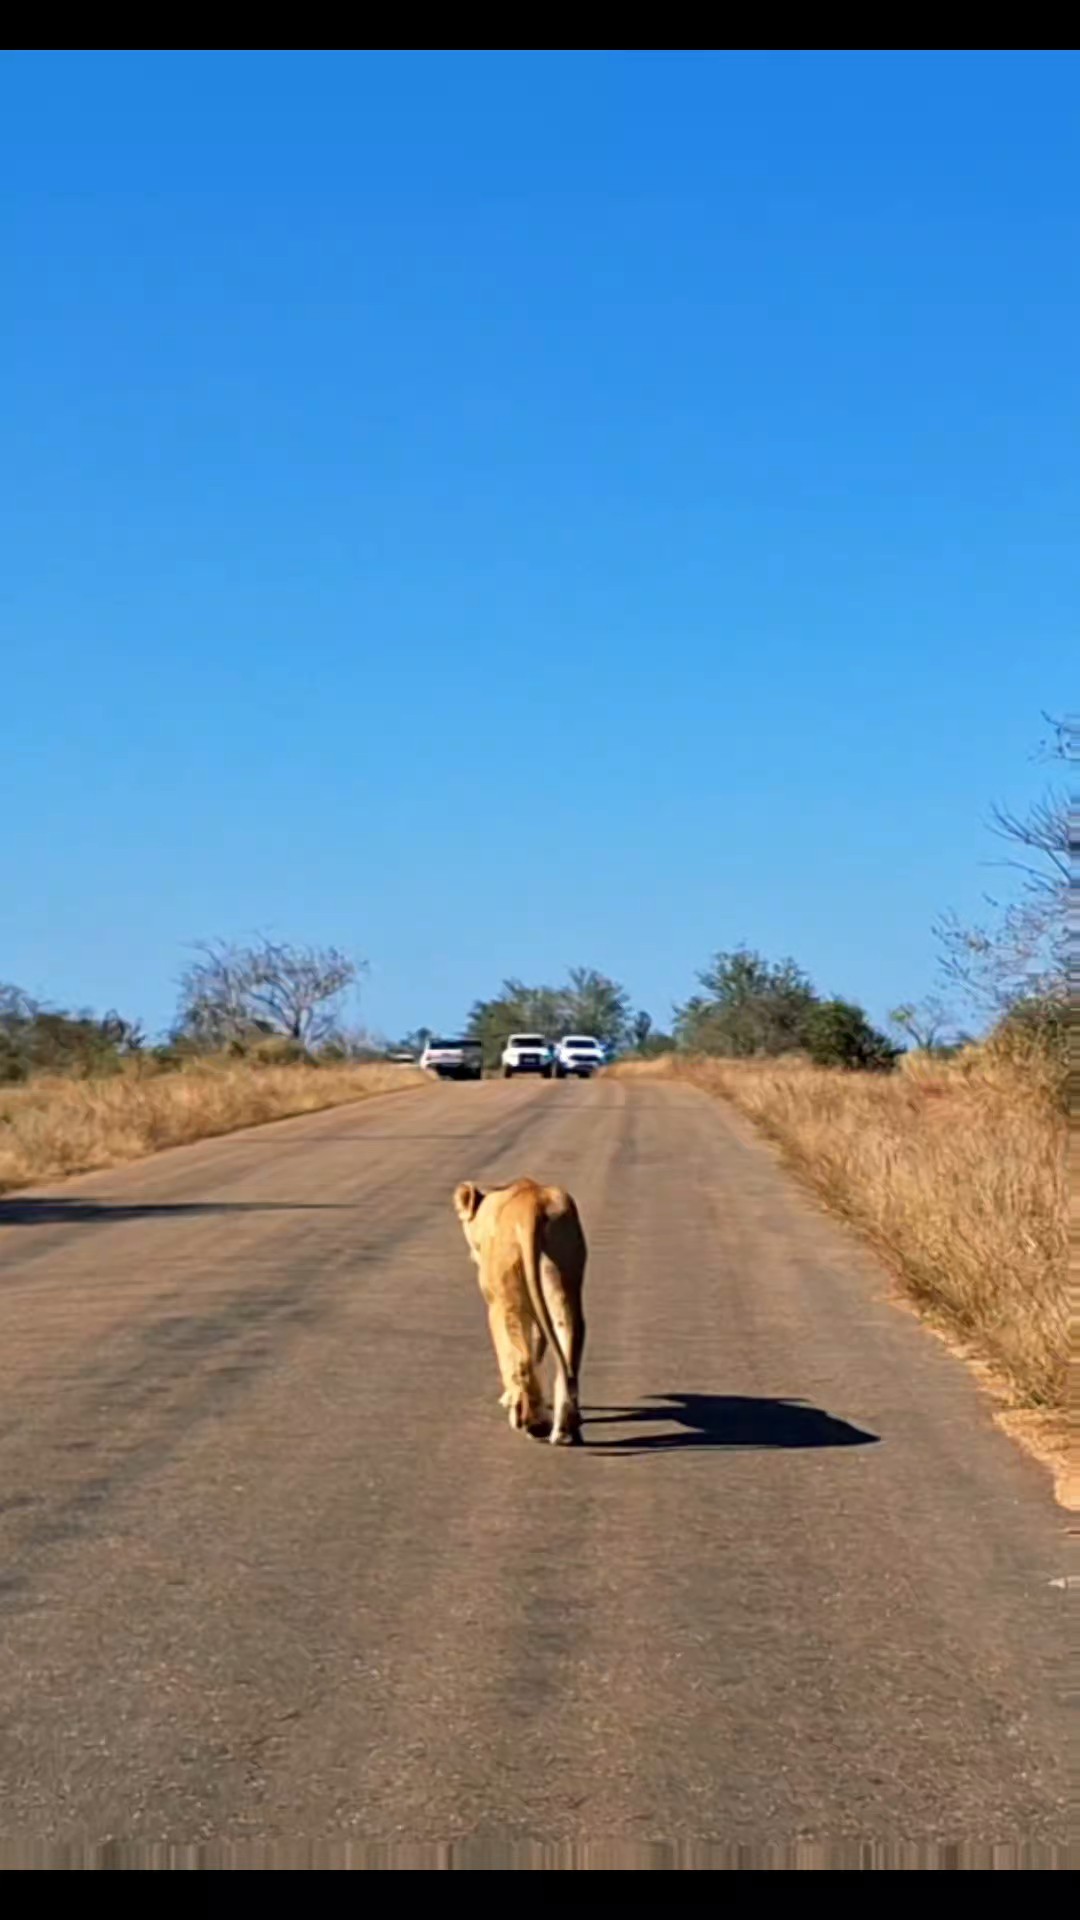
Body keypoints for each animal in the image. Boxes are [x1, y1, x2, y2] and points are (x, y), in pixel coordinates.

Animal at [452, 1178, 587, 1446]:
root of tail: (533, 1205)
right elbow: (540, 1344)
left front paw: (508, 1400)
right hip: (565, 1274)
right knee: (569, 1337)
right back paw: (564, 1429)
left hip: (504, 1300)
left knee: (519, 1356)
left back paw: (532, 1422)